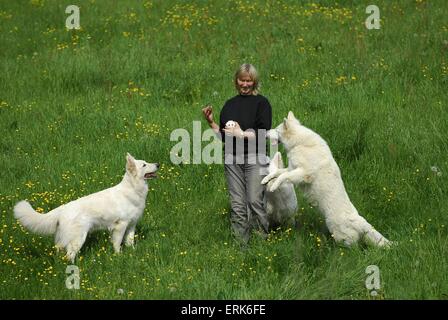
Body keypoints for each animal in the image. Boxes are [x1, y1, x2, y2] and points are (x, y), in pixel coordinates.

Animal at [13, 153, 159, 262]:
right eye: (144, 165)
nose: (158, 164)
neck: (132, 189)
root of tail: (63, 209)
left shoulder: (131, 225)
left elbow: (130, 241)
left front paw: (133, 253)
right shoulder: (120, 226)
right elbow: (117, 244)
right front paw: (119, 257)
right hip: (78, 238)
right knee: (69, 256)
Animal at [262, 112, 392, 248]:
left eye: (276, 130)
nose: (265, 133)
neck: (300, 143)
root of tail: (360, 221)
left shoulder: (302, 174)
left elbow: (282, 177)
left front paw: (274, 186)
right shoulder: (291, 168)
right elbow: (277, 172)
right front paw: (266, 180)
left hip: (340, 236)